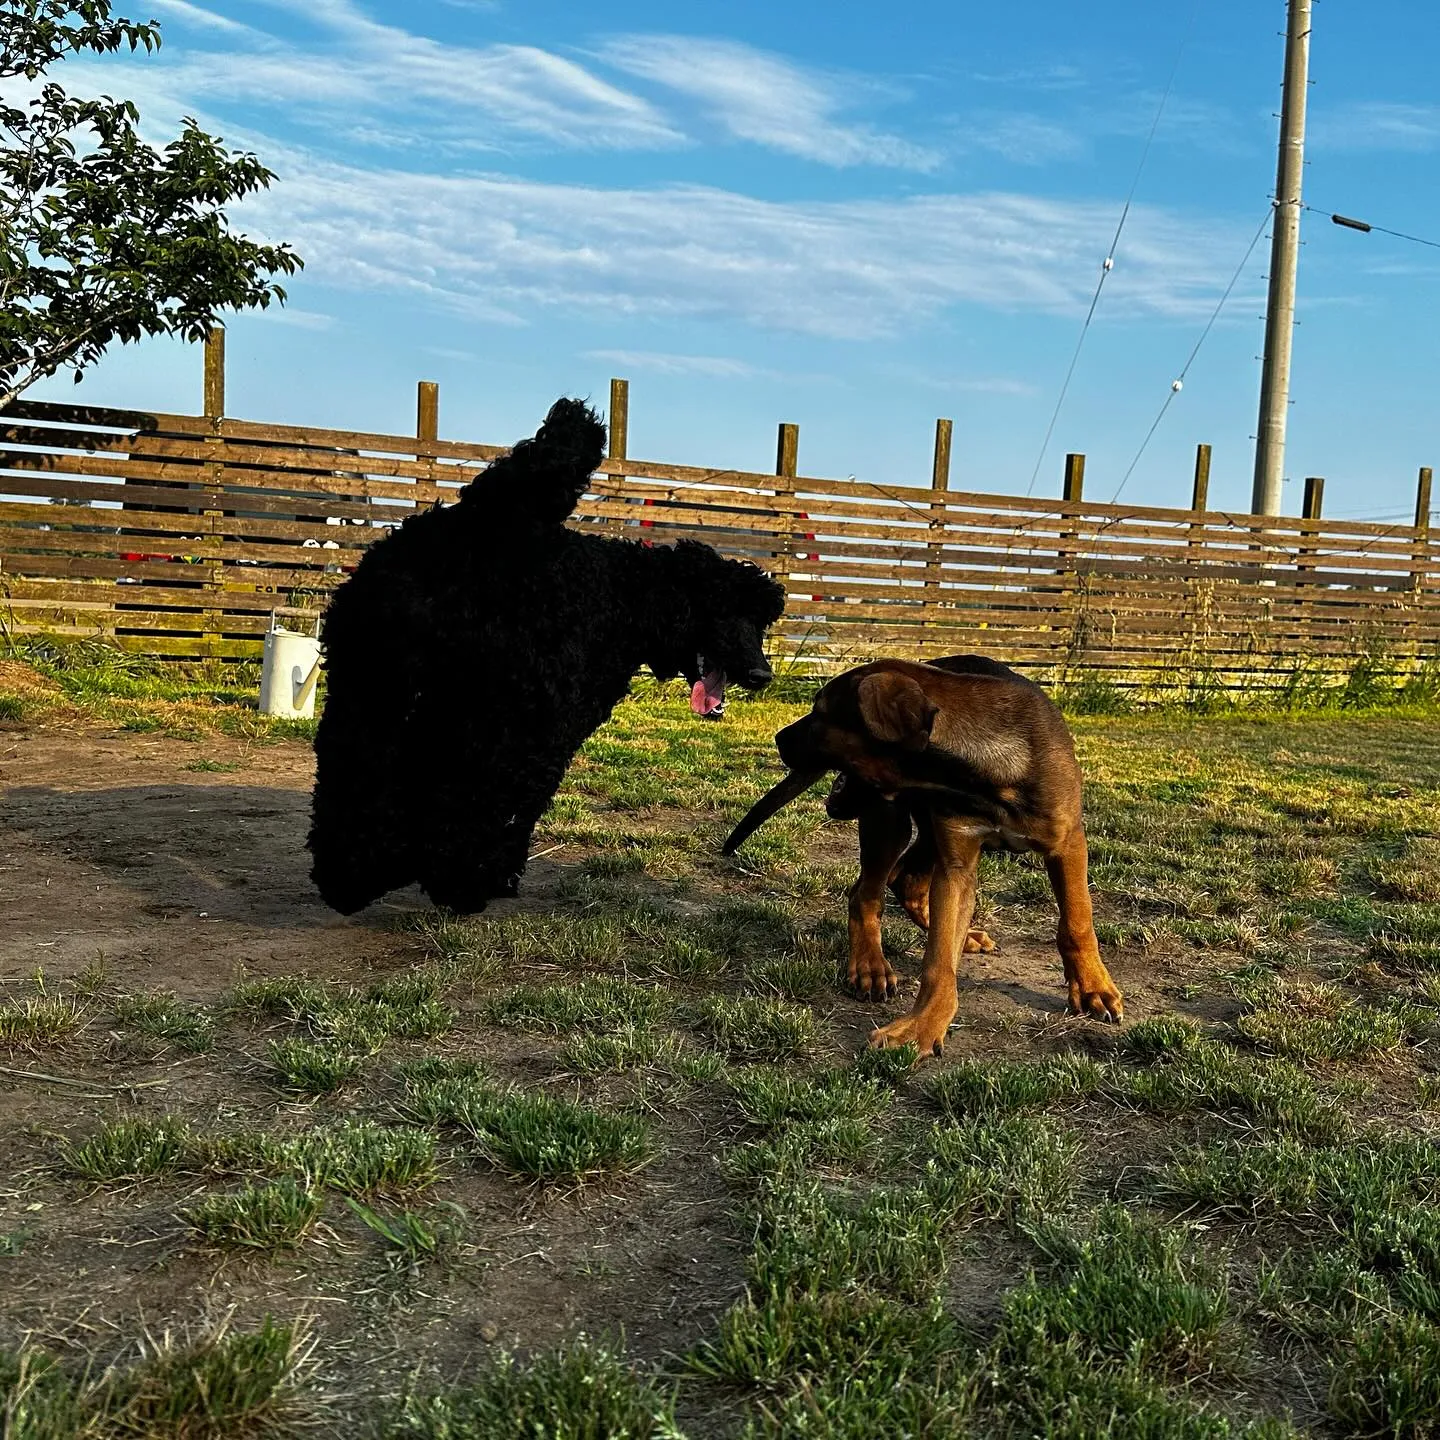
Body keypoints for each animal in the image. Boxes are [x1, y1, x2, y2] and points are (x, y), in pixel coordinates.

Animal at [309, 397, 789, 910]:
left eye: (760, 620)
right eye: (721, 610)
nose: (760, 674)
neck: (629, 596)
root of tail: (480, 527)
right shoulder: (541, 730)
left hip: (373, 688)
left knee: (354, 772)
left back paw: (351, 873)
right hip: (492, 716)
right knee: (473, 796)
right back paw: (456, 878)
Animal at [725, 659, 1117, 1054]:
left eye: (821, 712)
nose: (779, 738)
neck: (984, 778)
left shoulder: (1067, 844)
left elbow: (1077, 921)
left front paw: (1092, 987)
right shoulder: (957, 861)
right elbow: (939, 961)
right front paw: (922, 1026)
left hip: (922, 835)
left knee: (906, 880)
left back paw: (963, 935)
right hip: (888, 823)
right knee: (868, 893)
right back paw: (870, 965)